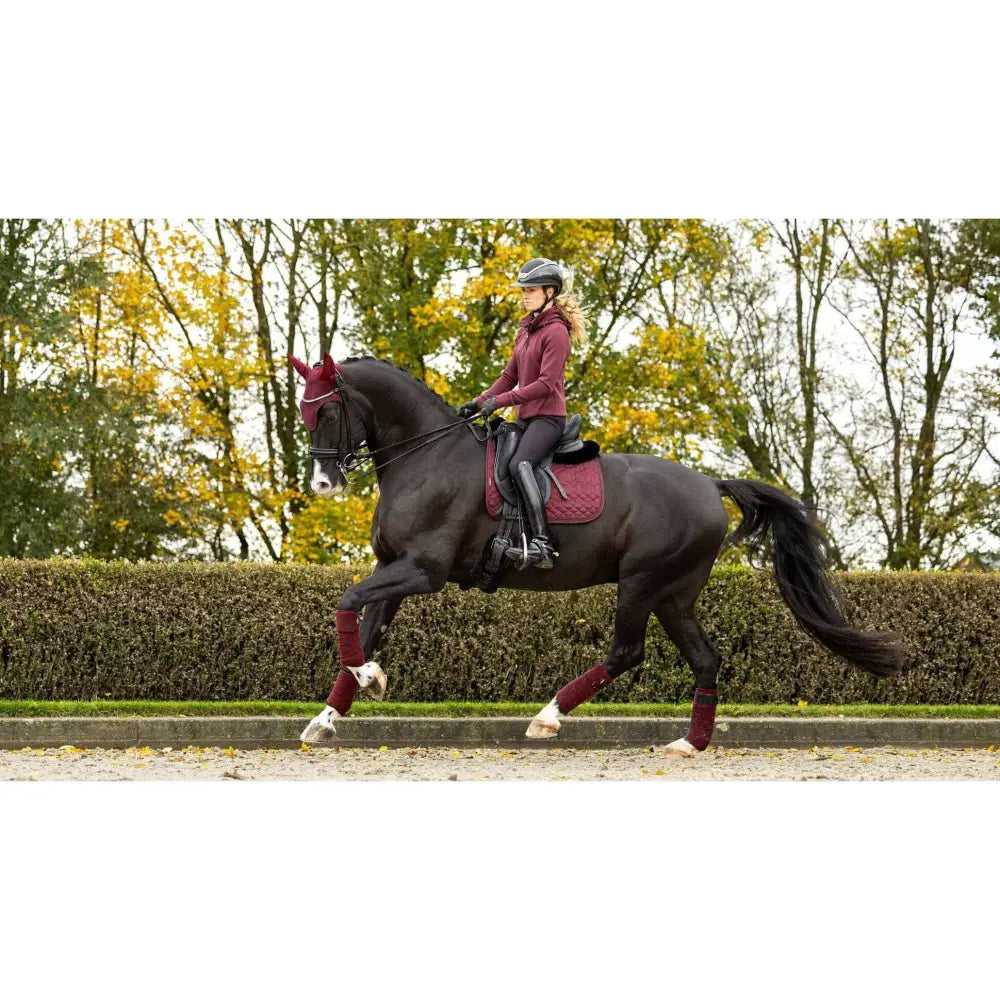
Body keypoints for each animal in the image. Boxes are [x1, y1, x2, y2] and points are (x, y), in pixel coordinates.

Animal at [292, 356, 908, 752]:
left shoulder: (423, 571)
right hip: (674, 594)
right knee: (705, 659)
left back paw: (547, 717)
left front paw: (367, 679)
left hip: (641, 582)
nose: (323, 484)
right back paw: (689, 744)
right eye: (305, 411)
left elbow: (346, 603)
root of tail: (710, 485)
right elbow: (361, 624)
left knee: (627, 652)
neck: (427, 457)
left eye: (327, 412)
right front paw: (333, 711)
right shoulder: (392, 568)